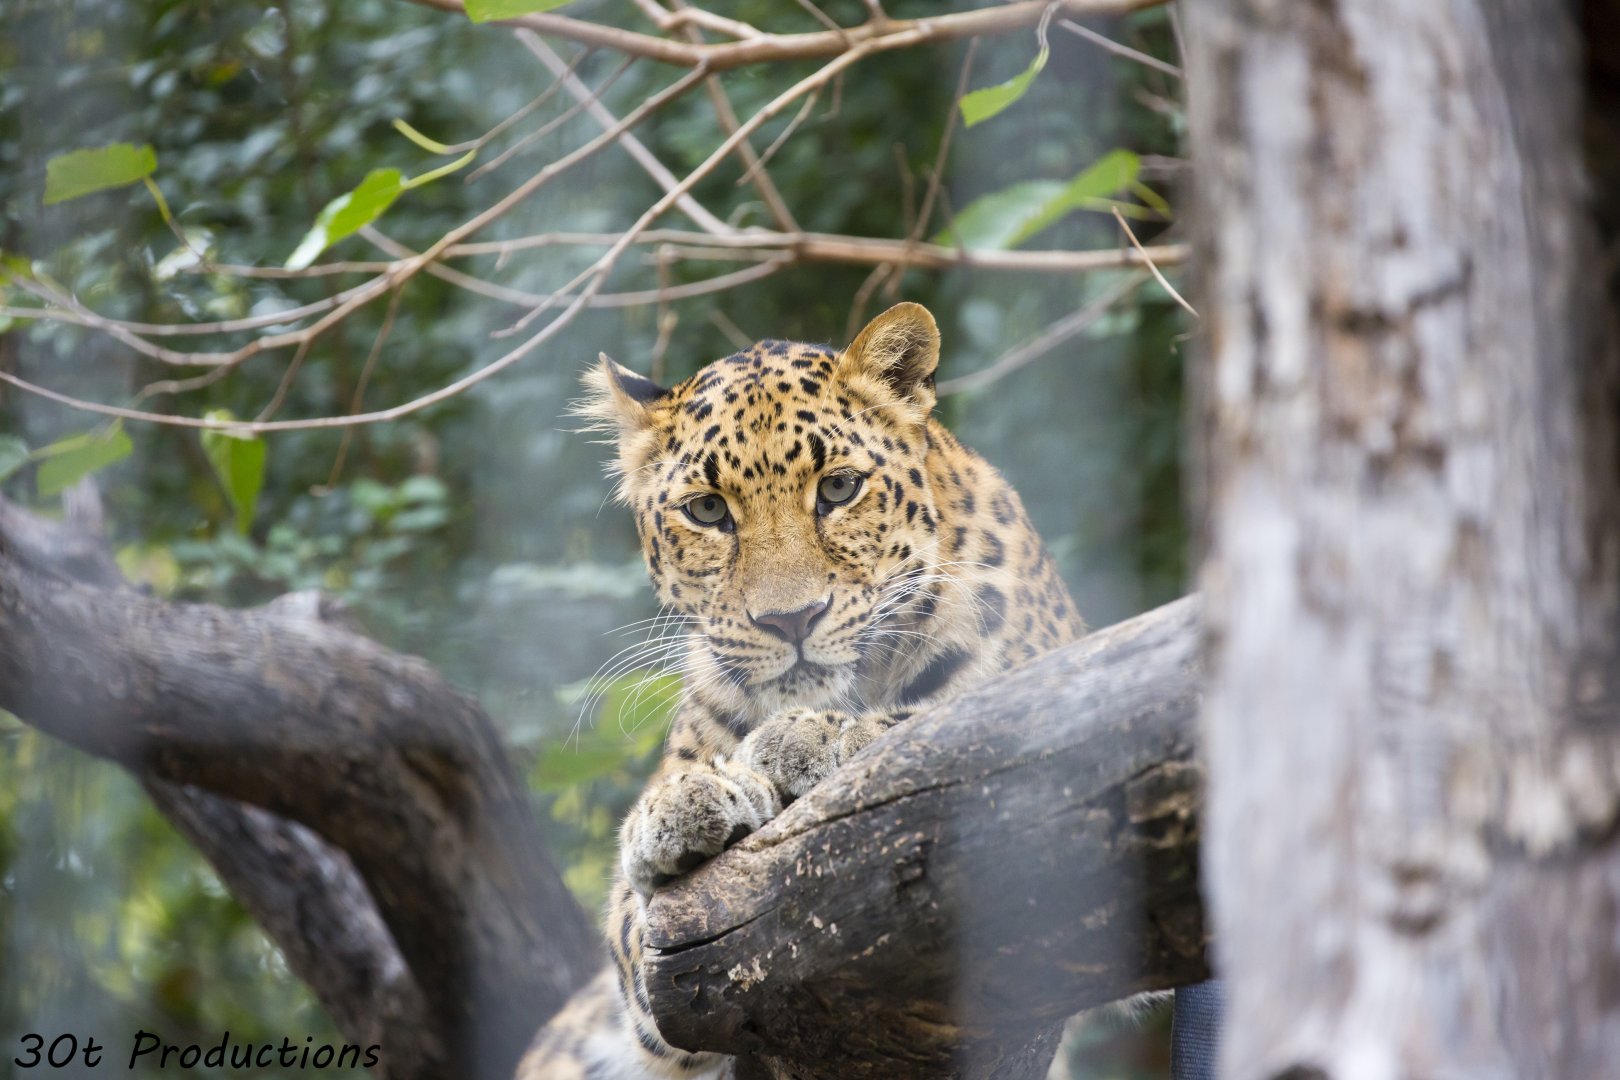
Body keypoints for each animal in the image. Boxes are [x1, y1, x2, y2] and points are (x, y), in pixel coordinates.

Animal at [518, 302, 1086, 1079]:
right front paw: (683, 806)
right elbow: (640, 926)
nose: (790, 618)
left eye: (839, 489)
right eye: (707, 510)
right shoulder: (643, 969)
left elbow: (937, 723)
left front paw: (809, 739)